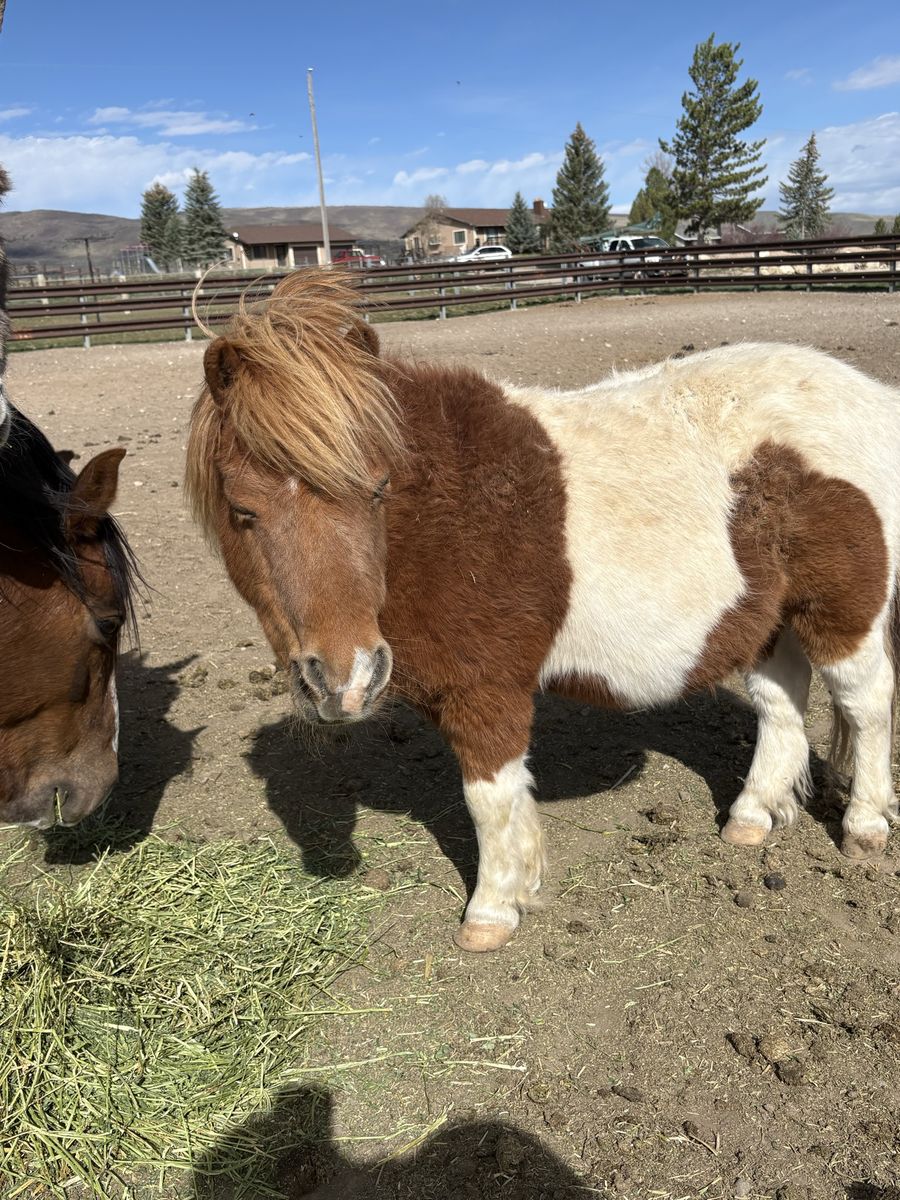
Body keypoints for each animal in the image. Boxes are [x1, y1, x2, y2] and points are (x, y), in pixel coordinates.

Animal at [186, 270, 900, 952]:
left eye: (378, 490)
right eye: (243, 511)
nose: (345, 680)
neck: (448, 512)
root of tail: (872, 399)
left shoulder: (487, 691)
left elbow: (489, 800)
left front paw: (492, 911)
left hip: (842, 613)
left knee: (865, 702)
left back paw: (864, 828)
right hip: (769, 616)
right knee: (780, 703)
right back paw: (750, 817)